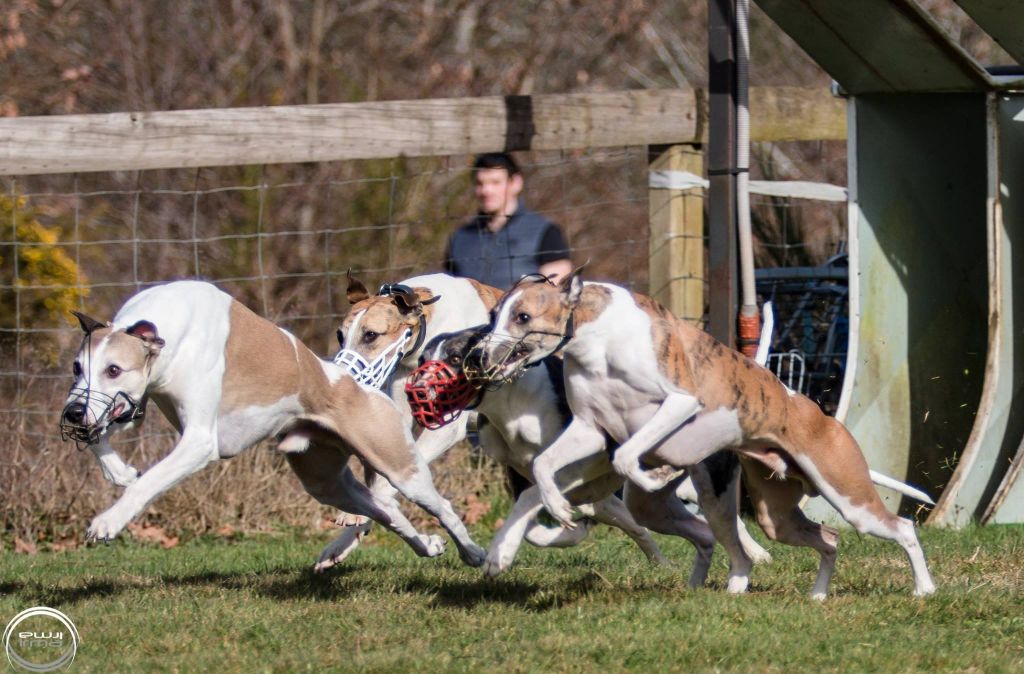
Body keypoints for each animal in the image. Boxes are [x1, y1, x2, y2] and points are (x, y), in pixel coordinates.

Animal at [58, 276, 483, 561]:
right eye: (77, 368)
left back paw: (474, 553)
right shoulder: (131, 403)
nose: (72, 413)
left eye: (114, 369)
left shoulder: (198, 442)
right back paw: (426, 545)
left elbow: (147, 482)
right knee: (385, 511)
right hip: (325, 482)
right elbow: (105, 433)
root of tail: (363, 389)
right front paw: (118, 471)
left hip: (400, 466)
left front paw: (108, 521)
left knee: (440, 505)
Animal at [471, 270, 937, 594]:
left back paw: (924, 589)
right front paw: (555, 510)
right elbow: (545, 465)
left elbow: (626, 454)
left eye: (523, 316)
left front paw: (654, 473)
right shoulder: (588, 428)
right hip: (770, 514)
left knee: (901, 528)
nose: (479, 356)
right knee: (825, 538)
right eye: (493, 315)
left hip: (846, 492)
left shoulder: (680, 403)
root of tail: (813, 411)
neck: (596, 337)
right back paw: (810, 594)